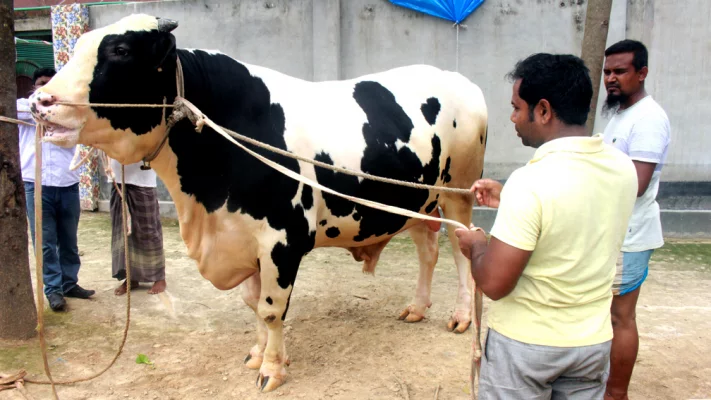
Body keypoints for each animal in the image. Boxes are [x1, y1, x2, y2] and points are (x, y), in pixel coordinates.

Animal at [29, 14, 490, 392]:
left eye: (121, 51)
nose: (40, 102)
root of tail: (458, 79)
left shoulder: (283, 239)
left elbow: (271, 309)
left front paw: (272, 368)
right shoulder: (241, 236)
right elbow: (253, 304)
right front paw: (257, 354)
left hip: (459, 194)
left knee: (460, 251)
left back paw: (461, 316)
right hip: (418, 201)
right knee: (428, 250)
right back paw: (416, 307)